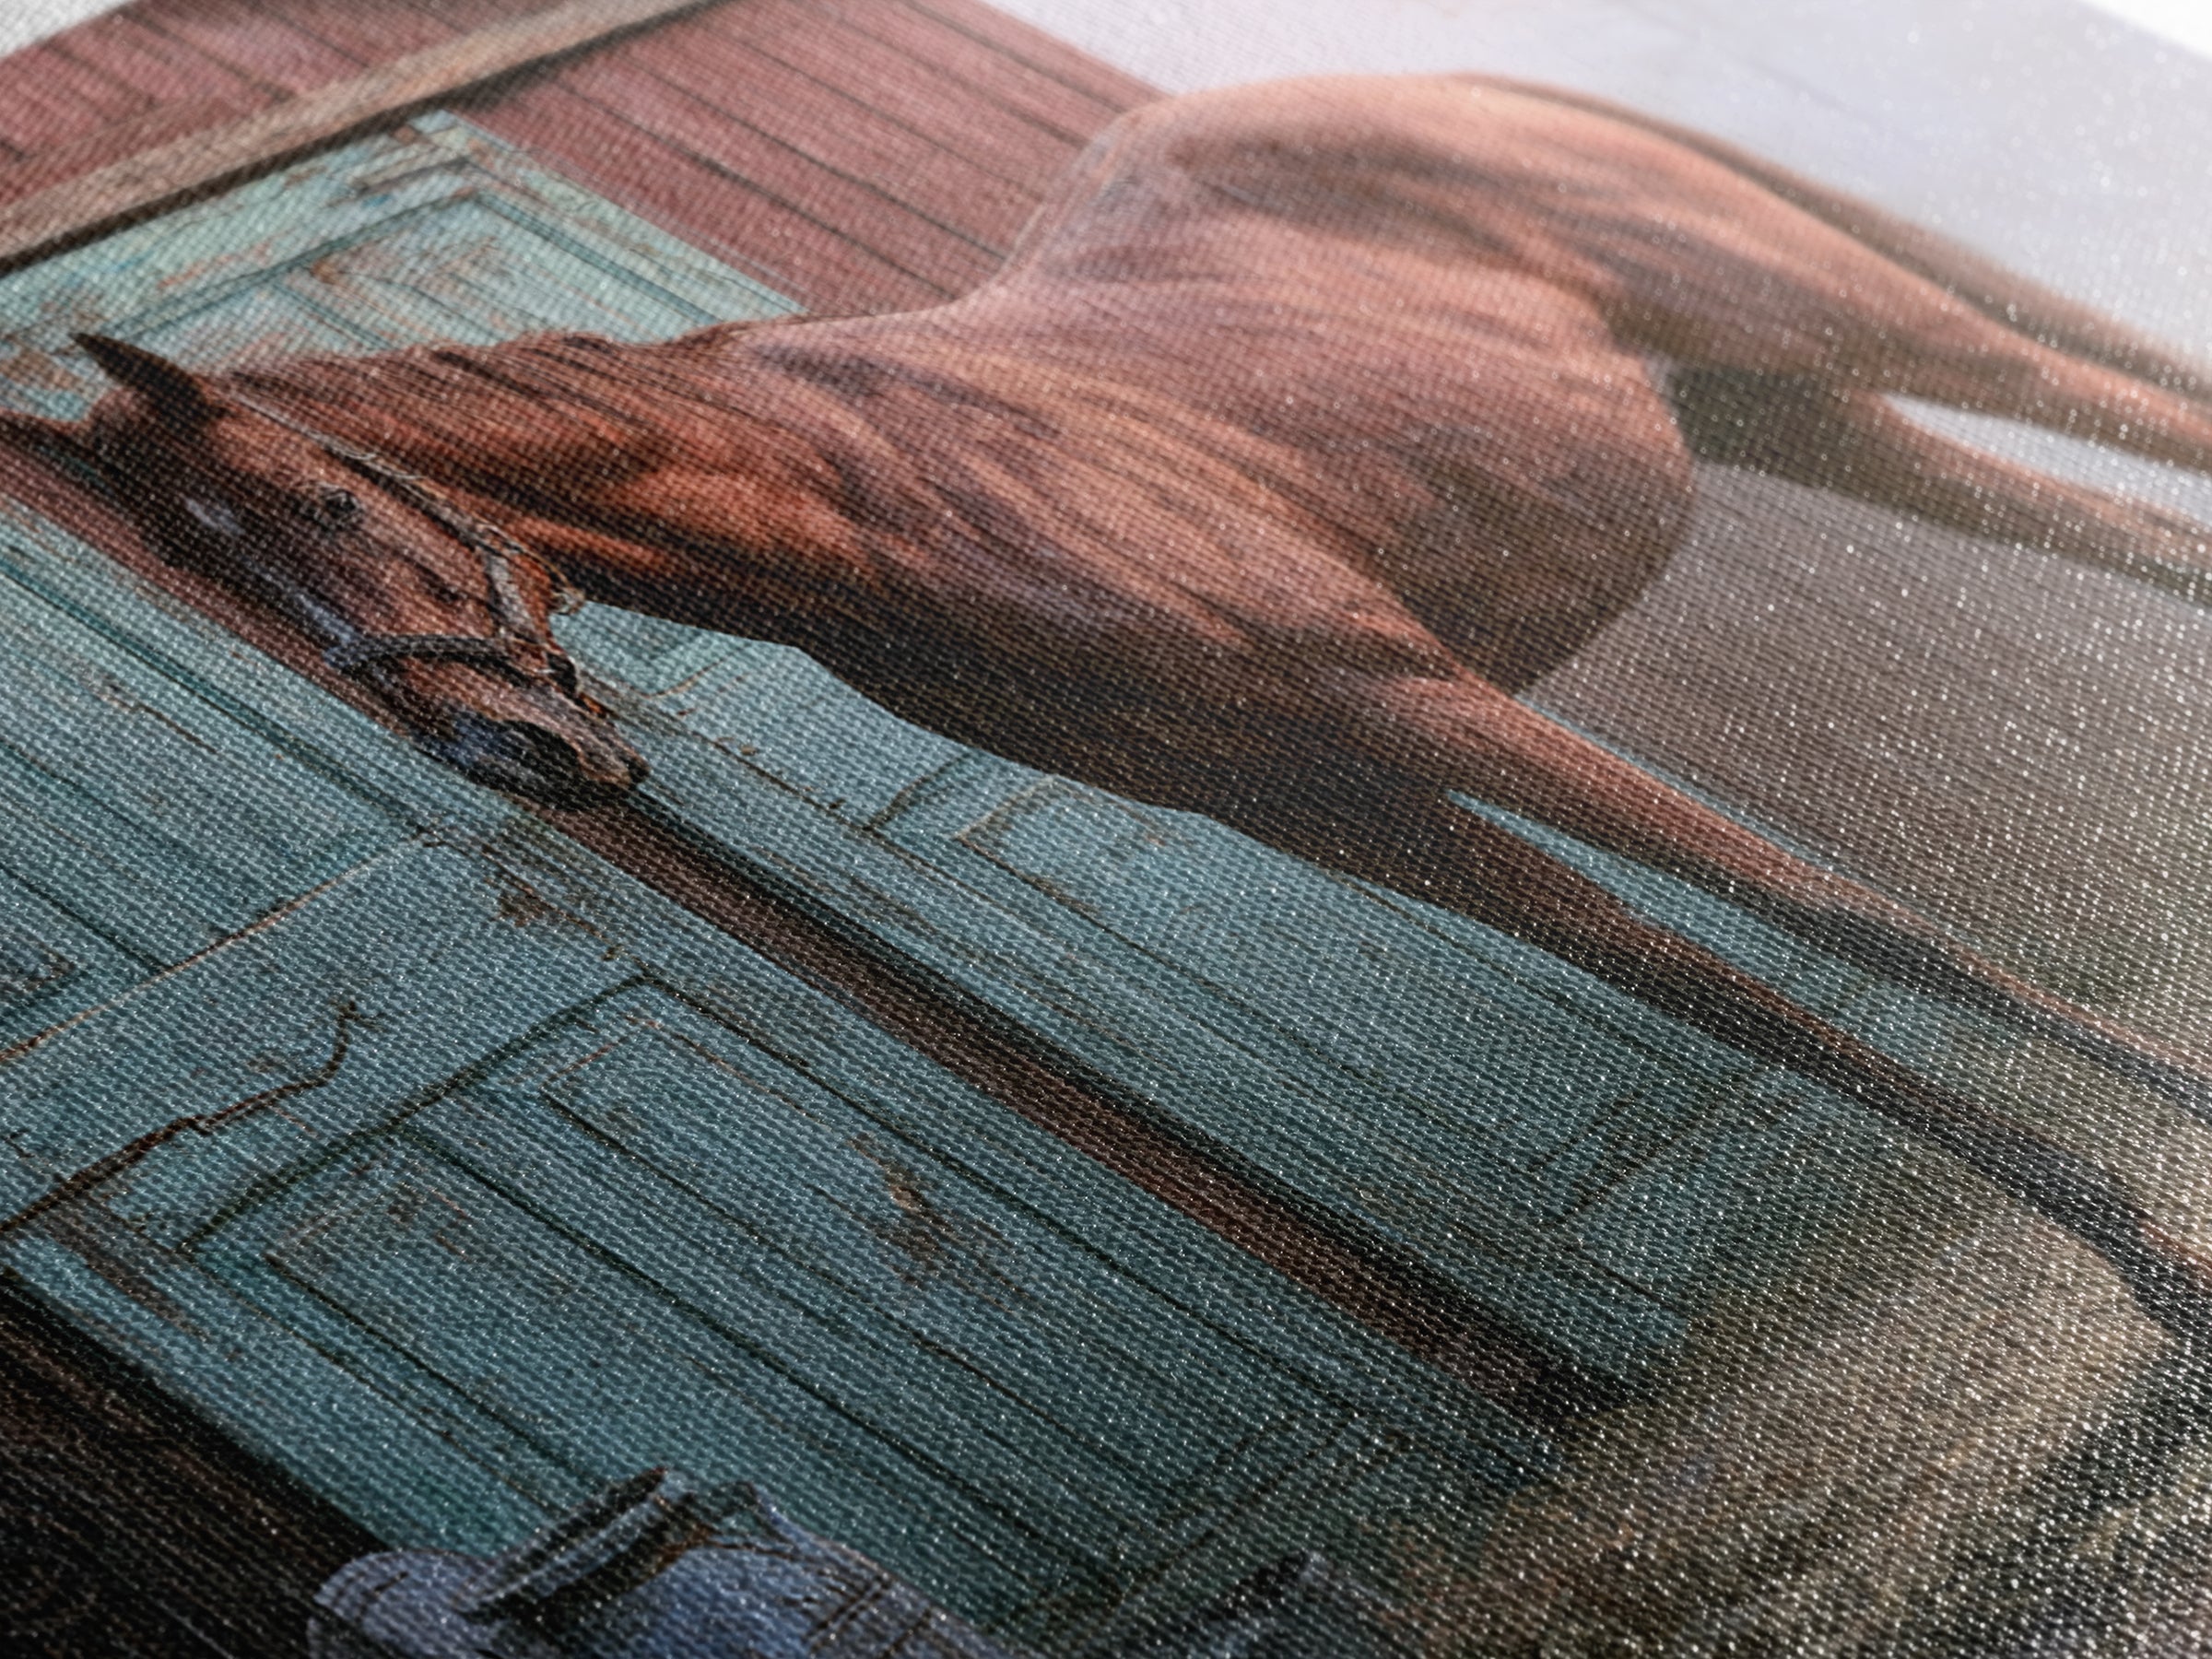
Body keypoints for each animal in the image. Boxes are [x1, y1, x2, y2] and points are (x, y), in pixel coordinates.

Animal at [10, 73, 2212, 1347]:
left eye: (315, 506)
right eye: (219, 580)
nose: (518, 760)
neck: (866, 488)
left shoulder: (1409, 701)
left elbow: (1863, 928)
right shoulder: (1330, 800)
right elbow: (1737, 998)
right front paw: (2150, 1274)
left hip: (1861, 325)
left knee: (2118, 408)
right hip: (1796, 408)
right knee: (2128, 523)